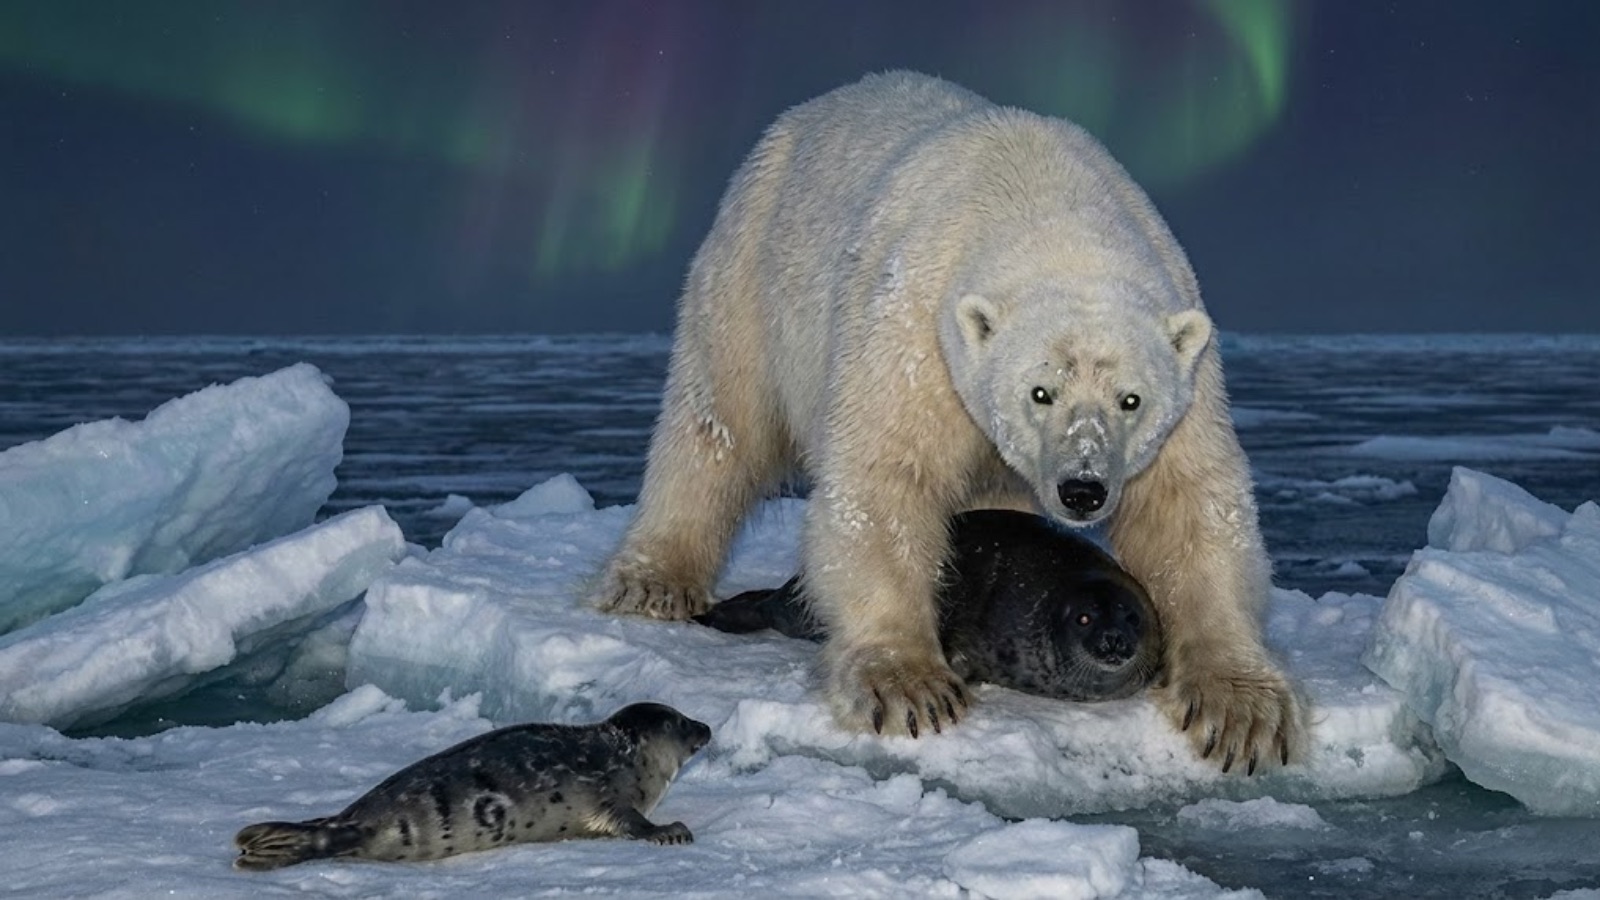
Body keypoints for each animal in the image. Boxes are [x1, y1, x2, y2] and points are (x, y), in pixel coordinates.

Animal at [591, 71, 1303, 772]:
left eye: (1131, 400)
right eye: (1040, 392)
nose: (1083, 489)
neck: (1050, 214)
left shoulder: (1185, 361)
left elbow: (1188, 504)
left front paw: (1240, 712)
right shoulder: (916, 333)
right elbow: (882, 478)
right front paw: (908, 688)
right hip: (752, 270)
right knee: (717, 425)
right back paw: (652, 583)